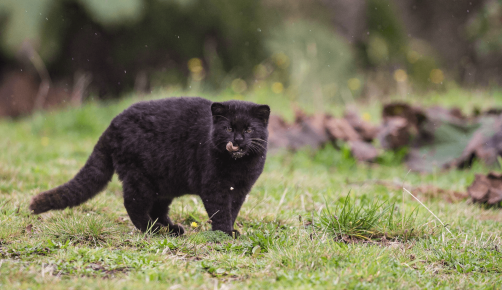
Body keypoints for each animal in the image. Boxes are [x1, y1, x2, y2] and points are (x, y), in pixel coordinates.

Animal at [28, 97, 268, 236]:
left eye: (248, 129)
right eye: (228, 128)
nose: (237, 141)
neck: (238, 165)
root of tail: (113, 123)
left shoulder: (240, 189)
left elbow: (233, 209)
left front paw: (231, 230)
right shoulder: (214, 186)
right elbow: (220, 211)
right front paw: (224, 233)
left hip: (164, 181)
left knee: (157, 208)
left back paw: (171, 230)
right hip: (139, 177)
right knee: (133, 204)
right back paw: (152, 230)